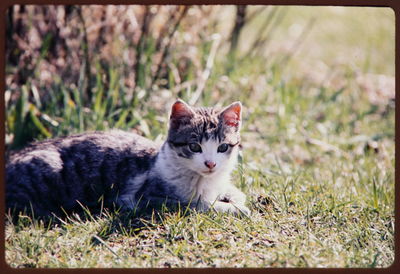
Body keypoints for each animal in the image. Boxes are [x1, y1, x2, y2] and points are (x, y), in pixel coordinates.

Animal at [5, 99, 250, 217]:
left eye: (222, 147)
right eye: (194, 146)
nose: (210, 163)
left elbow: (235, 192)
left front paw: (233, 197)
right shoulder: (145, 199)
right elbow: (195, 204)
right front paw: (232, 208)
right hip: (48, 168)